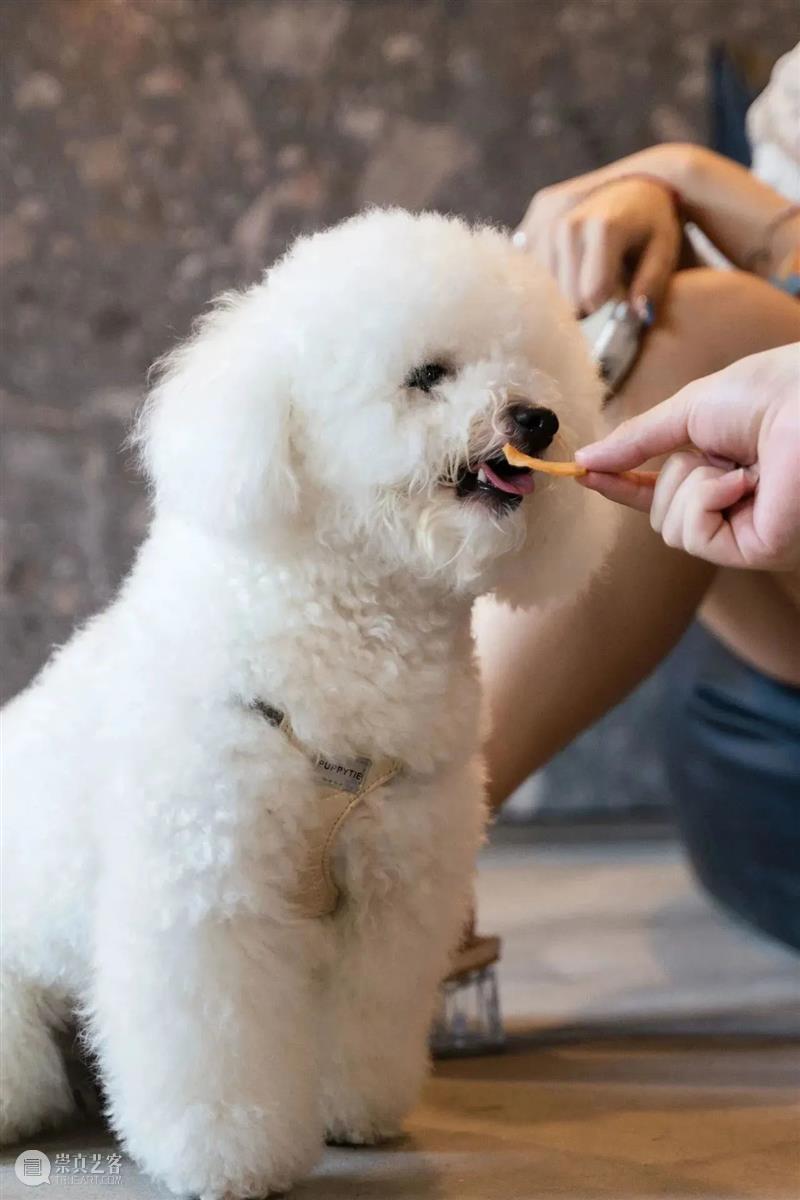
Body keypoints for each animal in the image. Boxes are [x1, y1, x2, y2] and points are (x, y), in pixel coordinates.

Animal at [0, 211, 618, 1195]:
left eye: (536, 367)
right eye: (427, 374)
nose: (538, 418)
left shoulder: (390, 896)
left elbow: (362, 1021)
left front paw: (351, 1113)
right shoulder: (209, 893)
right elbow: (214, 1046)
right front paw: (229, 1153)